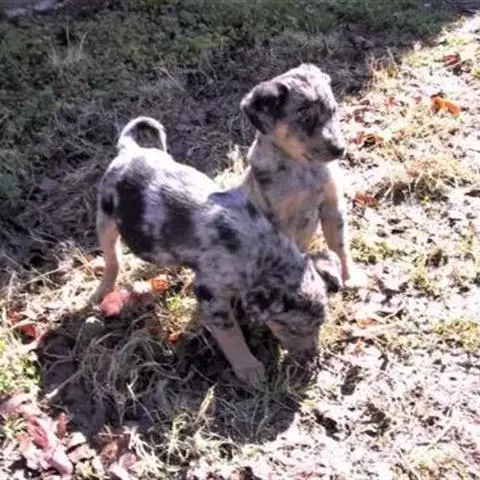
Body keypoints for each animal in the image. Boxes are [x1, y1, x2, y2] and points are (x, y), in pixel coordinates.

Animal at [92, 117, 342, 386]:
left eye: (320, 323)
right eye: (291, 328)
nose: (312, 356)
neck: (261, 253)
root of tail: (129, 150)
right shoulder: (210, 292)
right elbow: (231, 335)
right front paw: (249, 369)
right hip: (105, 218)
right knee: (112, 259)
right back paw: (99, 293)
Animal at [240, 63, 365, 288]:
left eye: (333, 111)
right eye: (305, 118)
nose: (340, 150)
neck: (303, 167)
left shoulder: (332, 205)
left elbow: (340, 245)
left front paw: (349, 277)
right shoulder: (279, 219)